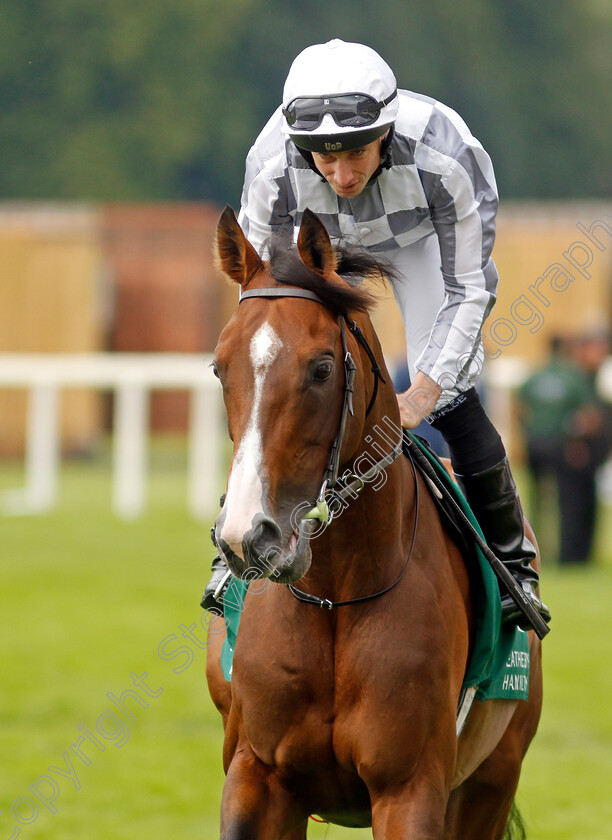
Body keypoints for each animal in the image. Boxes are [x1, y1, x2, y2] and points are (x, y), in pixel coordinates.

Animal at [206, 205, 540, 840]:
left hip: (492, 777)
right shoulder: (257, 777)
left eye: (321, 368)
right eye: (218, 367)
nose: (249, 537)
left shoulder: (410, 788)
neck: (335, 595)